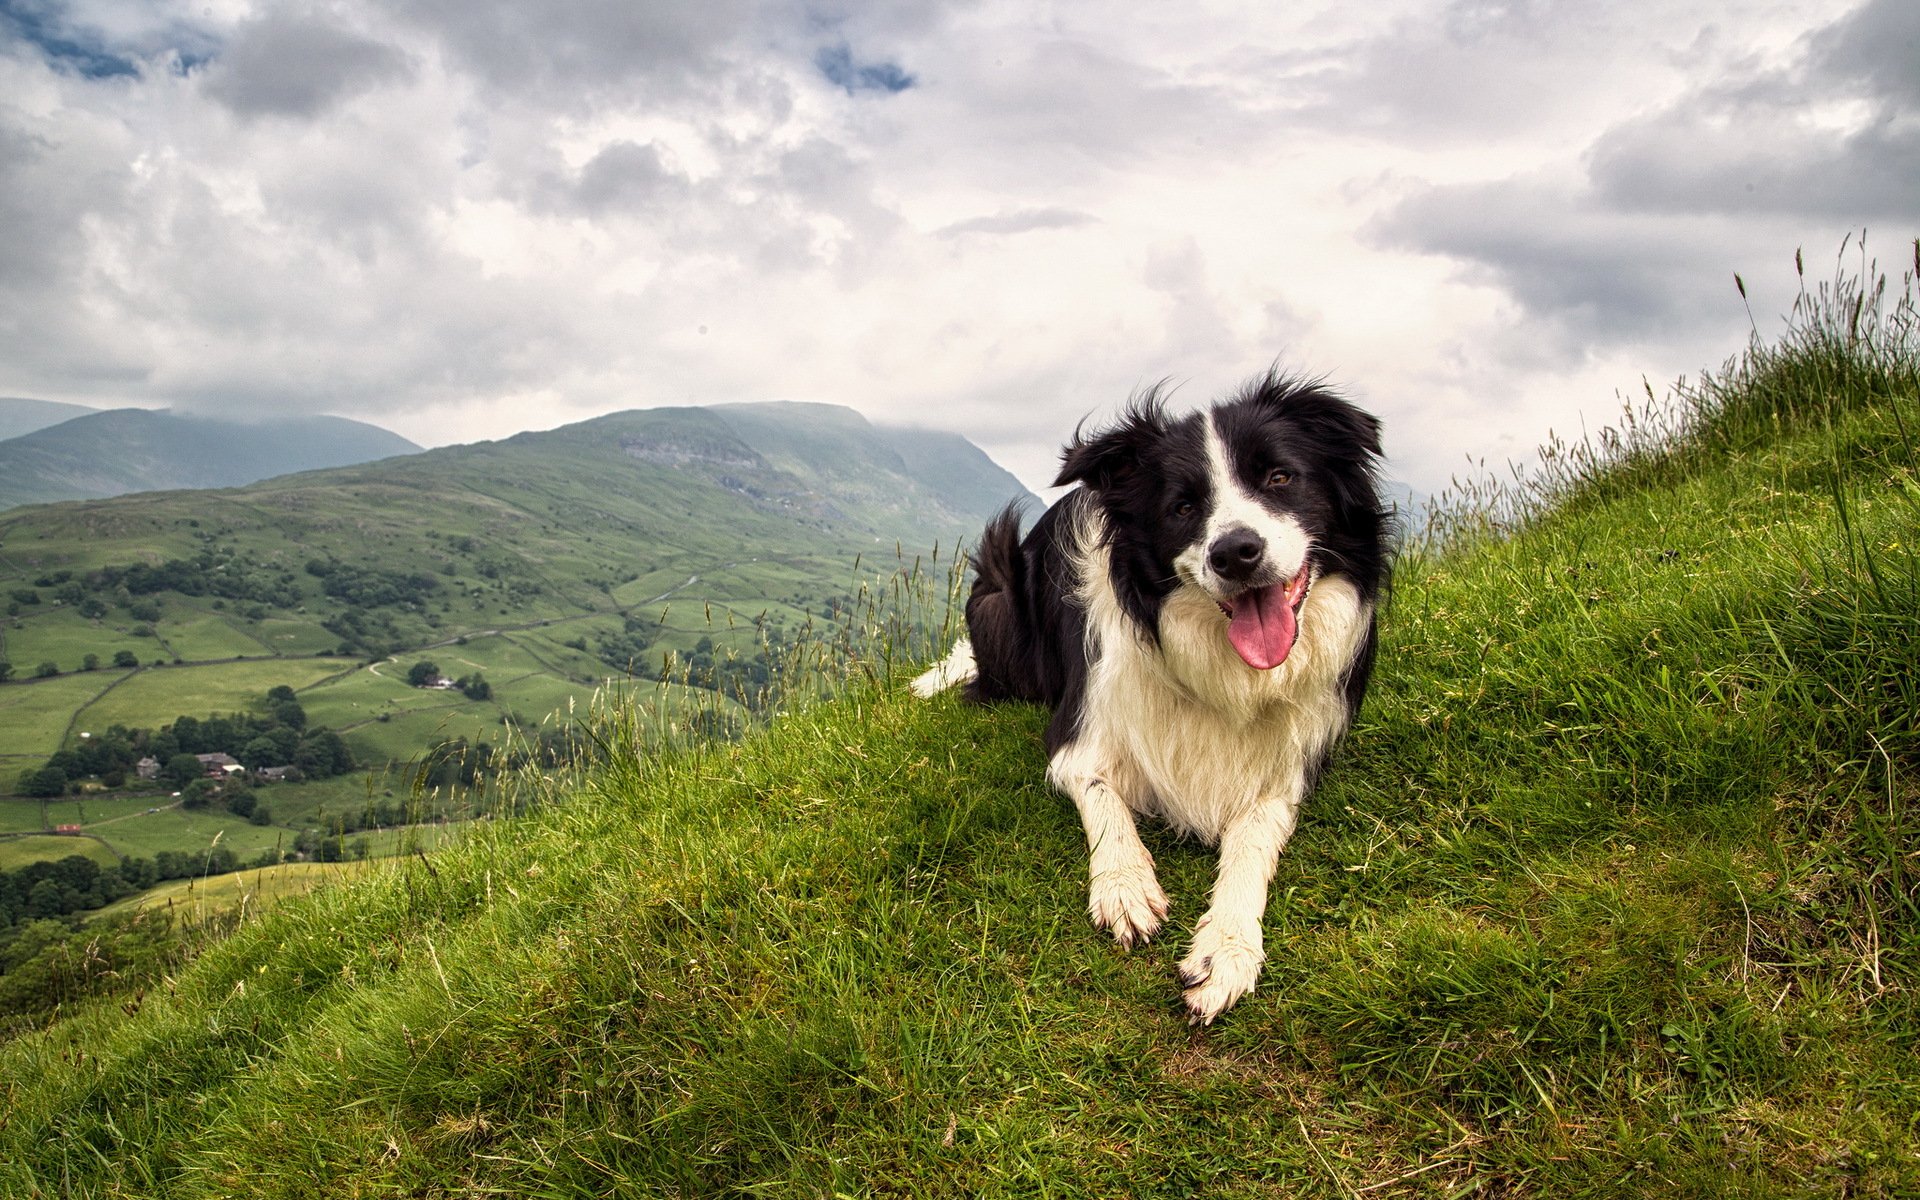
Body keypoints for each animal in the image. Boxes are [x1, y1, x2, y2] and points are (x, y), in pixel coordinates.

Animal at [917, 374, 1397, 1021]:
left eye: (1279, 477)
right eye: (1183, 507)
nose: (1234, 552)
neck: (1222, 668)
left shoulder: (1290, 766)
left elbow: (1254, 841)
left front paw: (1228, 945)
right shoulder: (1079, 733)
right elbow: (1103, 799)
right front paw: (1124, 886)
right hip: (997, 593)